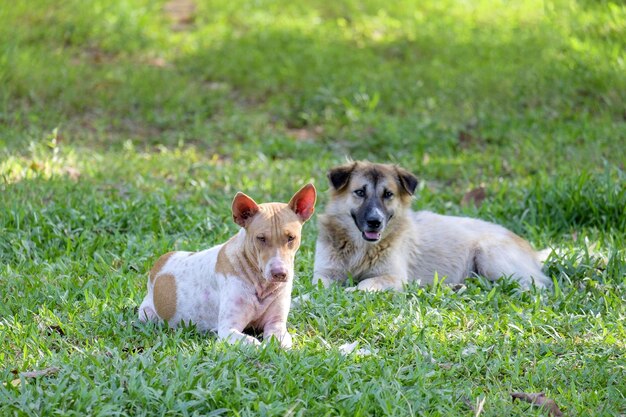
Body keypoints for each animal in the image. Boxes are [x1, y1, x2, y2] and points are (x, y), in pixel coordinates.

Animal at [138, 184, 314, 346]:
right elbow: (253, 343)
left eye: (291, 238)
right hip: (147, 314)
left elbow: (281, 342)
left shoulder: (276, 325)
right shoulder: (228, 329)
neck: (260, 284)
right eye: (261, 238)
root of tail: (159, 263)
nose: (279, 273)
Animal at [314, 161, 548, 290]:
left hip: (490, 256)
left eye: (388, 194)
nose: (375, 222)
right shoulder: (324, 274)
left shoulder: (394, 277)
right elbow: (318, 288)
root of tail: (532, 251)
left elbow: (365, 283)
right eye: (360, 192)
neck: (361, 249)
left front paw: (352, 291)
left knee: (537, 284)